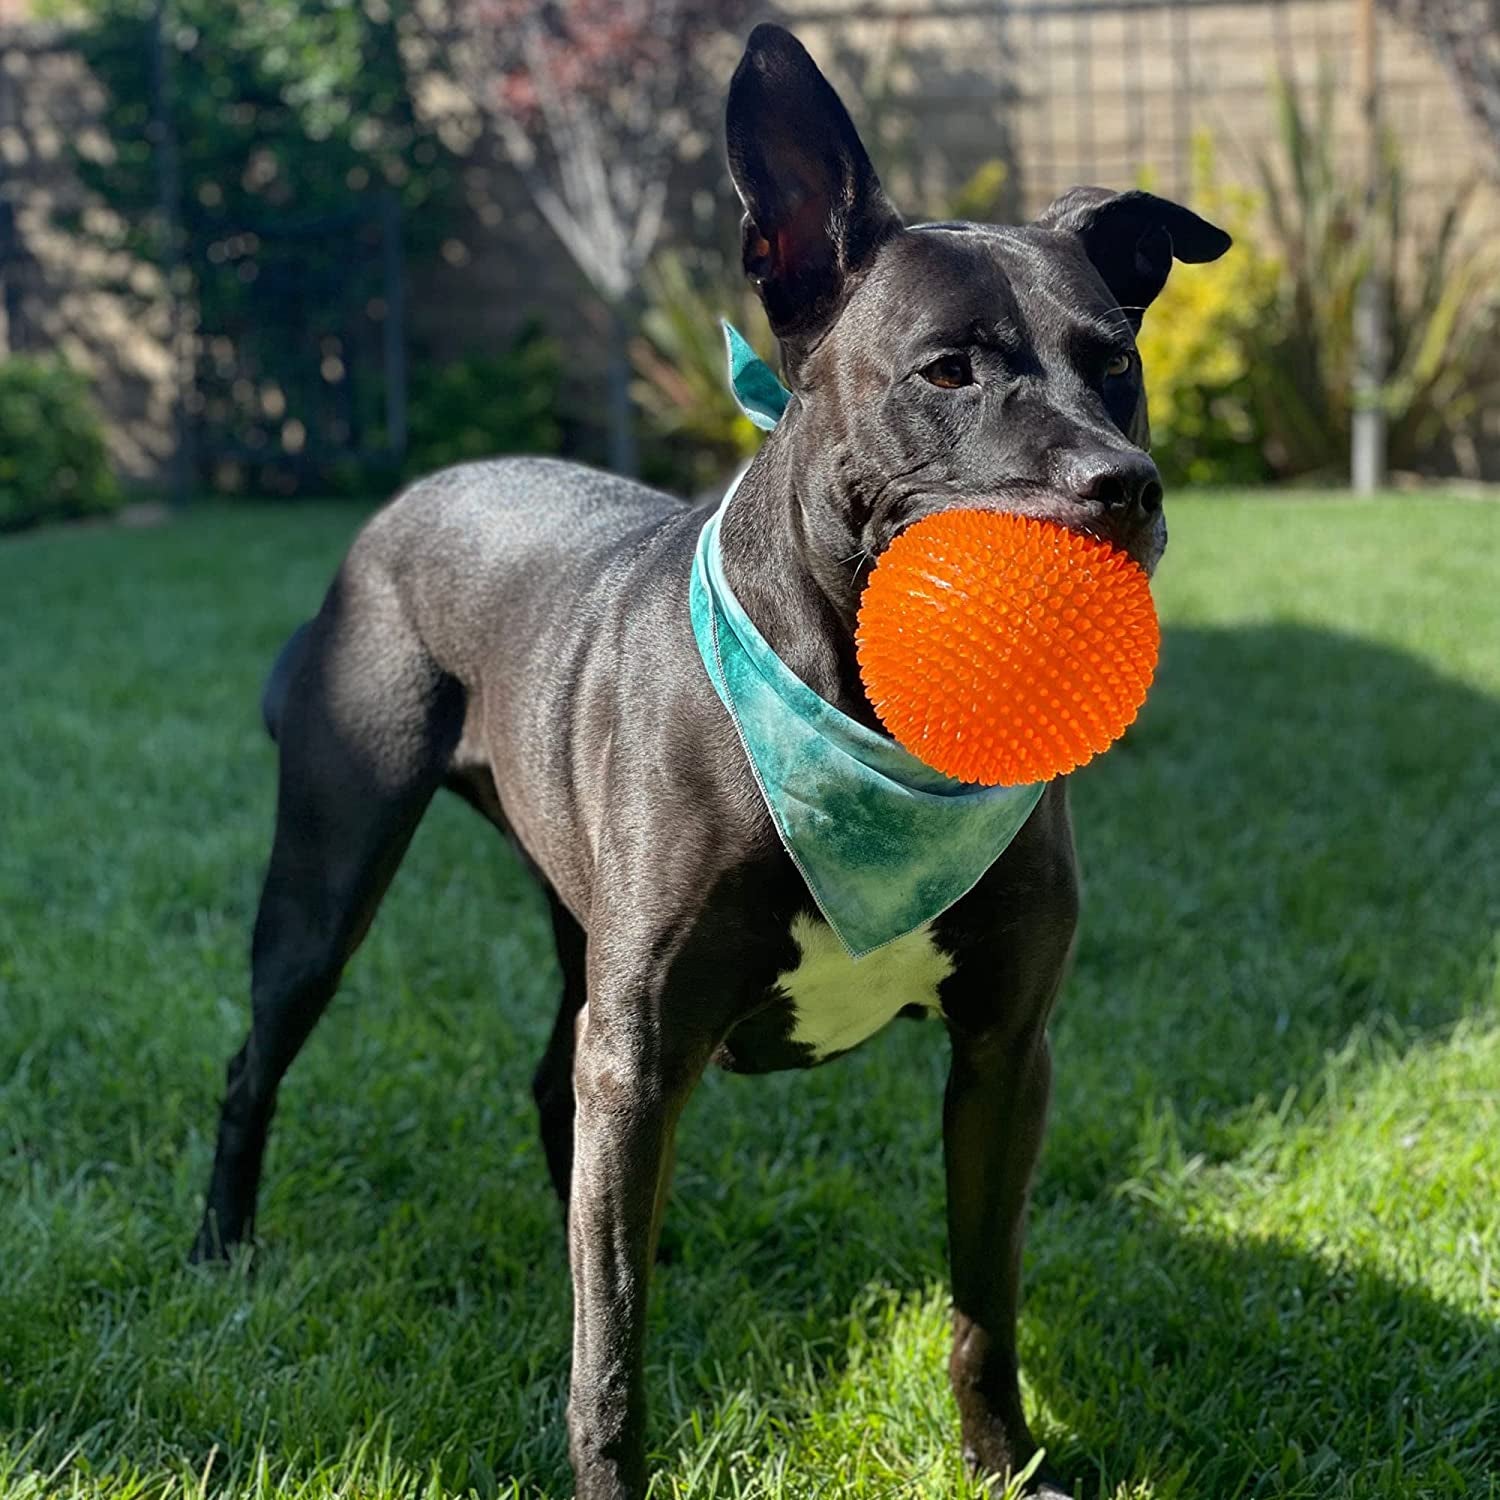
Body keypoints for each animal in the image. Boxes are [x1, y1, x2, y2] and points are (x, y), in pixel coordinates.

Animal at [193, 26, 1230, 1500]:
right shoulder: (643, 1049)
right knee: (258, 1061)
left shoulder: (1004, 1055)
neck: (863, 724)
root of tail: (410, 496)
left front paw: (1002, 1466)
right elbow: (612, 1363)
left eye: (1118, 361)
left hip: (577, 937)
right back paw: (223, 1249)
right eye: (949, 371)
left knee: (556, 1108)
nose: (1124, 487)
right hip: (329, 876)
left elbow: (985, 1299)